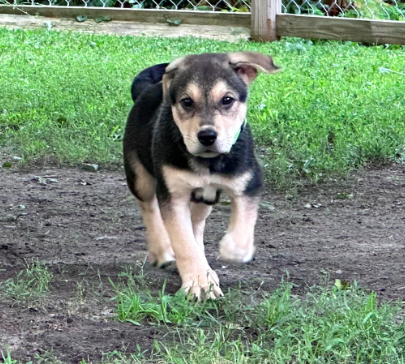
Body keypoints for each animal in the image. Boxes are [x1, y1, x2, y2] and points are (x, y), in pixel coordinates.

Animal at [123, 52, 280, 302]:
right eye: (187, 102)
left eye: (227, 100)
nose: (207, 136)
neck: (209, 162)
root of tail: (146, 90)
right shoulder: (172, 193)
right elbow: (182, 241)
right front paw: (198, 284)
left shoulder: (248, 183)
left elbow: (243, 226)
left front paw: (230, 251)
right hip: (140, 178)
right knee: (149, 207)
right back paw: (162, 250)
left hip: (204, 198)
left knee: (195, 224)